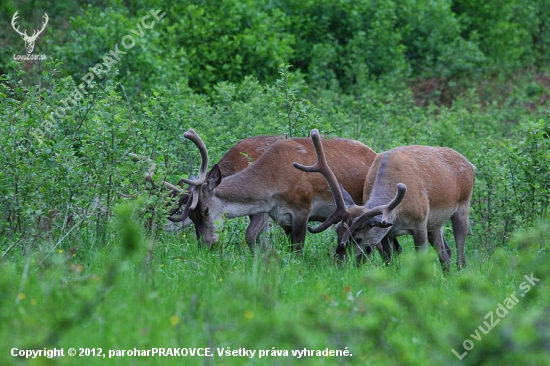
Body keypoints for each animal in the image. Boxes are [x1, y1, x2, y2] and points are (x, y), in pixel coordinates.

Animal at [167, 129, 402, 258]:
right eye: (191, 215)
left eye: (205, 210)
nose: (205, 245)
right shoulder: (278, 215)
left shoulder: (301, 210)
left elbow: (293, 249)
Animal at [296, 129, 476, 268]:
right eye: (338, 230)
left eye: (358, 238)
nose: (338, 264)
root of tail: (470, 164)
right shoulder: (386, 231)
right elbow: (389, 260)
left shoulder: (419, 223)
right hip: (435, 223)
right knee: (445, 252)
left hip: (463, 205)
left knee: (461, 253)